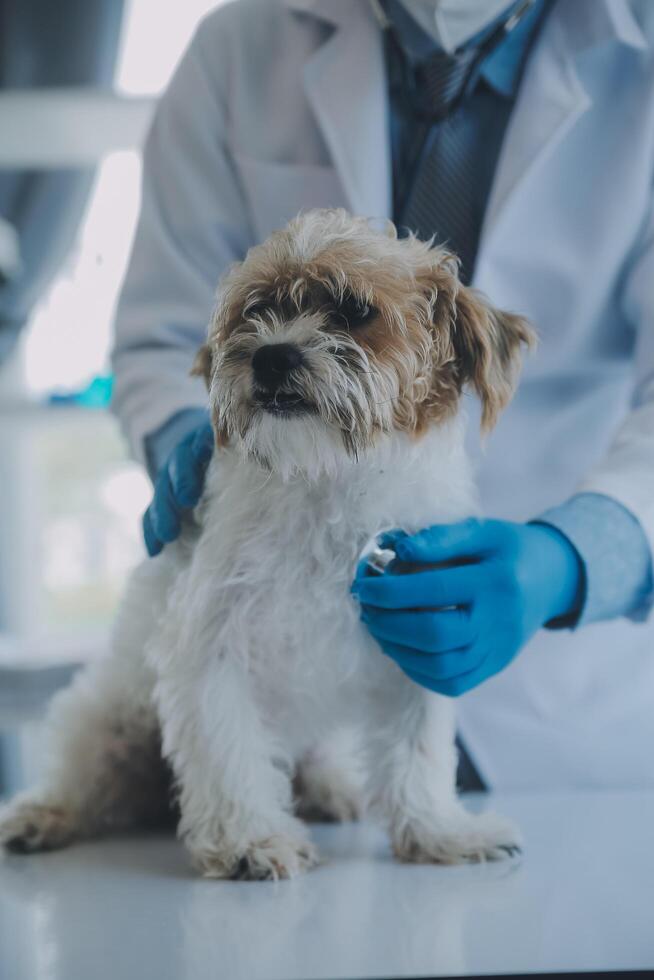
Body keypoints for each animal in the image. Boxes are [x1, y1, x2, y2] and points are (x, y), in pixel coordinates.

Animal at [0, 209, 532, 880]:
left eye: (354, 309)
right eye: (256, 311)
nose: (272, 356)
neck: (330, 479)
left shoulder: (421, 637)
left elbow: (419, 755)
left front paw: (439, 832)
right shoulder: (212, 646)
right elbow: (228, 751)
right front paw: (249, 841)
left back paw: (332, 789)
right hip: (107, 722)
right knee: (83, 779)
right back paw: (40, 815)